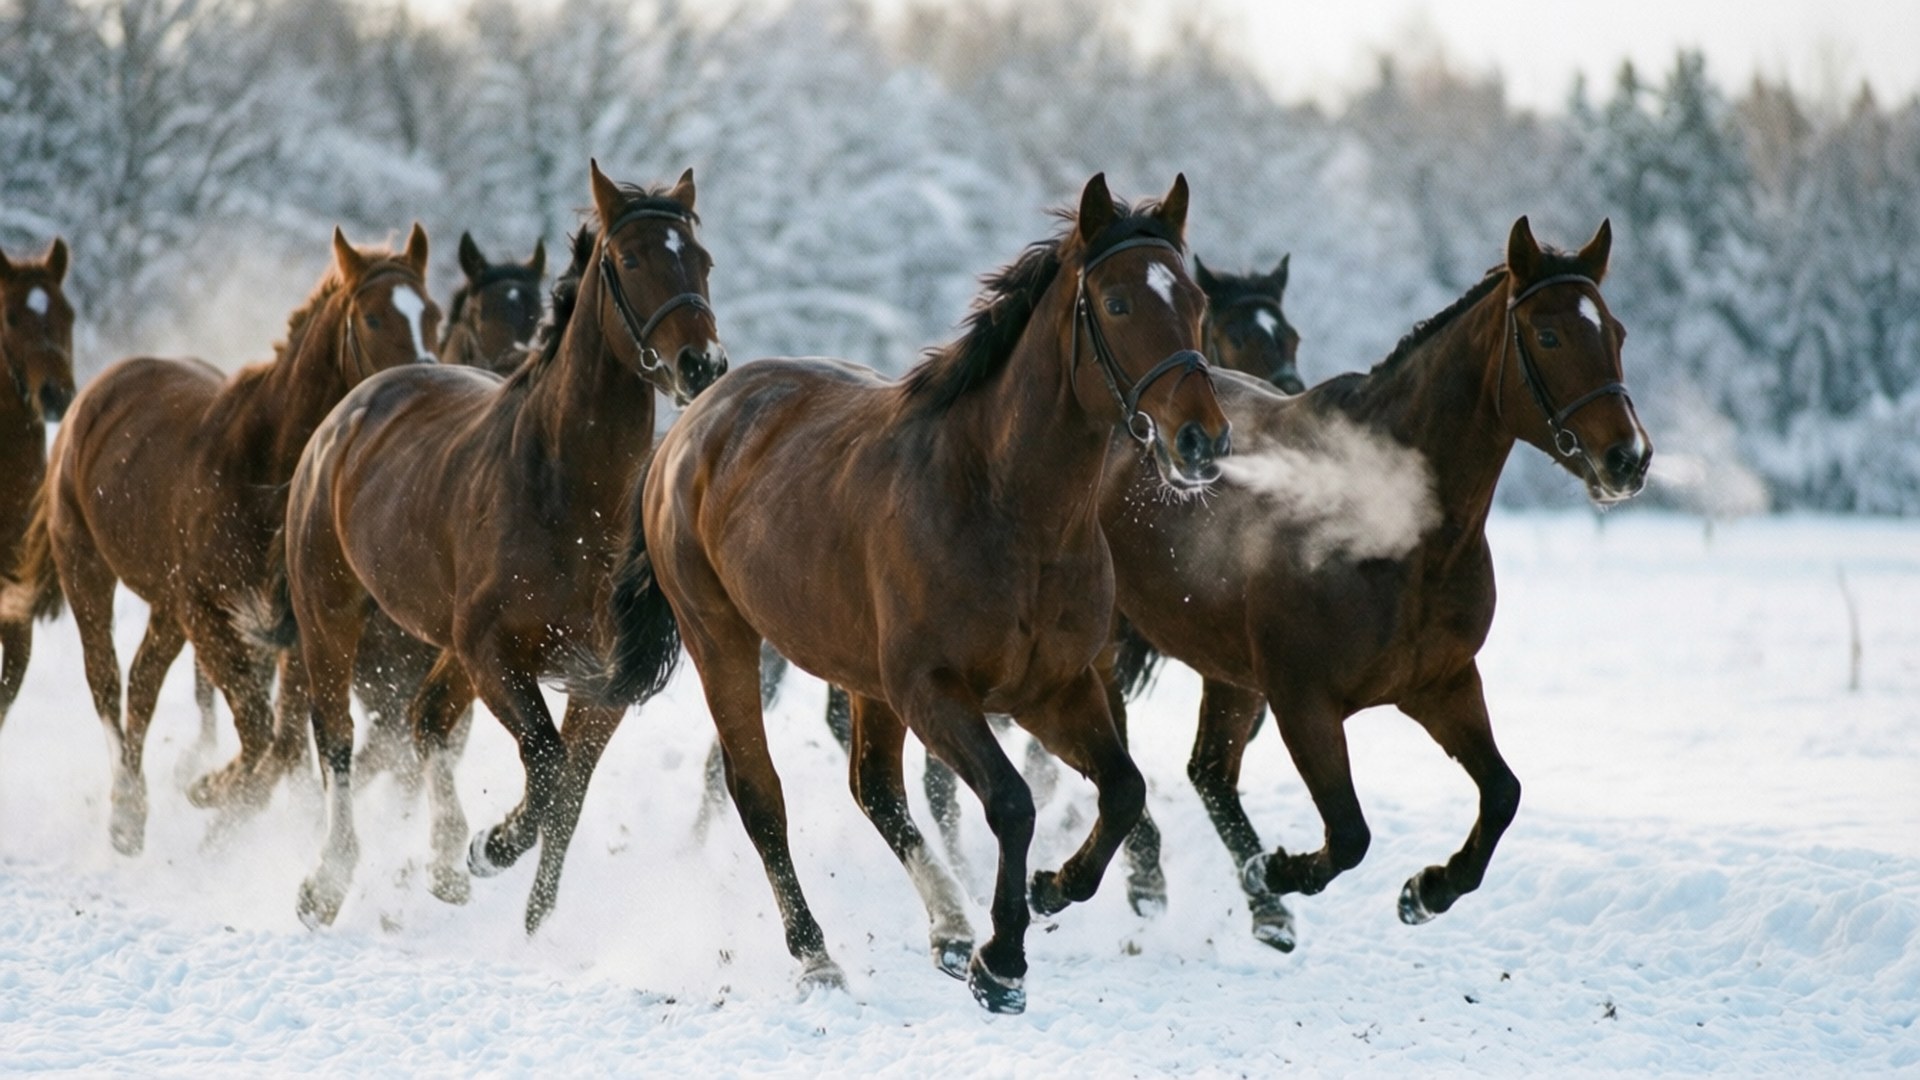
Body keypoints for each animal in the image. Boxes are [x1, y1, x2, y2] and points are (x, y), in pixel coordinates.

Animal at [8, 226, 438, 855]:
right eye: (375, 317)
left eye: (431, 313)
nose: (421, 388)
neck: (264, 468)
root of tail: (97, 393)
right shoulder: (208, 611)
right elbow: (258, 729)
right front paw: (214, 791)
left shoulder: (291, 628)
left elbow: (284, 741)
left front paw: (228, 805)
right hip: (89, 569)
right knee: (107, 680)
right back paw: (125, 815)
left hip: (166, 607)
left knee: (142, 683)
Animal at [281, 163, 724, 931]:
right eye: (631, 259)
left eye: (701, 259)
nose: (702, 363)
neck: (571, 498)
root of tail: (356, 404)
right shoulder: (493, 652)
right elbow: (544, 764)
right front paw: (492, 846)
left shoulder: (599, 683)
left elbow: (568, 793)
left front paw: (532, 924)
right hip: (330, 613)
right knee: (335, 735)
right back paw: (329, 883)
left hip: (447, 649)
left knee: (426, 720)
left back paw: (440, 862)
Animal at [615, 174, 1230, 1013]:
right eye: (1118, 303)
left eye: (1195, 300)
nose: (1202, 440)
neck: (1008, 510)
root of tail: (690, 426)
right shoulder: (934, 690)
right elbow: (1011, 802)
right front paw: (1002, 962)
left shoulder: (1053, 687)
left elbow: (1125, 789)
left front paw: (1053, 889)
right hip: (723, 639)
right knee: (760, 795)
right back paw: (820, 956)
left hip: (863, 676)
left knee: (874, 788)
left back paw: (949, 928)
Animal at [1102, 217, 1650, 951]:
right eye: (1549, 335)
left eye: (1615, 331)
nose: (1628, 458)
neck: (1397, 532)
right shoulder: (1302, 700)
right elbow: (1350, 834)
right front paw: (1280, 869)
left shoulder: (1442, 683)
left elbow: (1503, 794)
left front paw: (1427, 890)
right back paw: (1158, 877)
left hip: (1228, 672)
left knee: (1208, 773)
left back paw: (1261, 908)